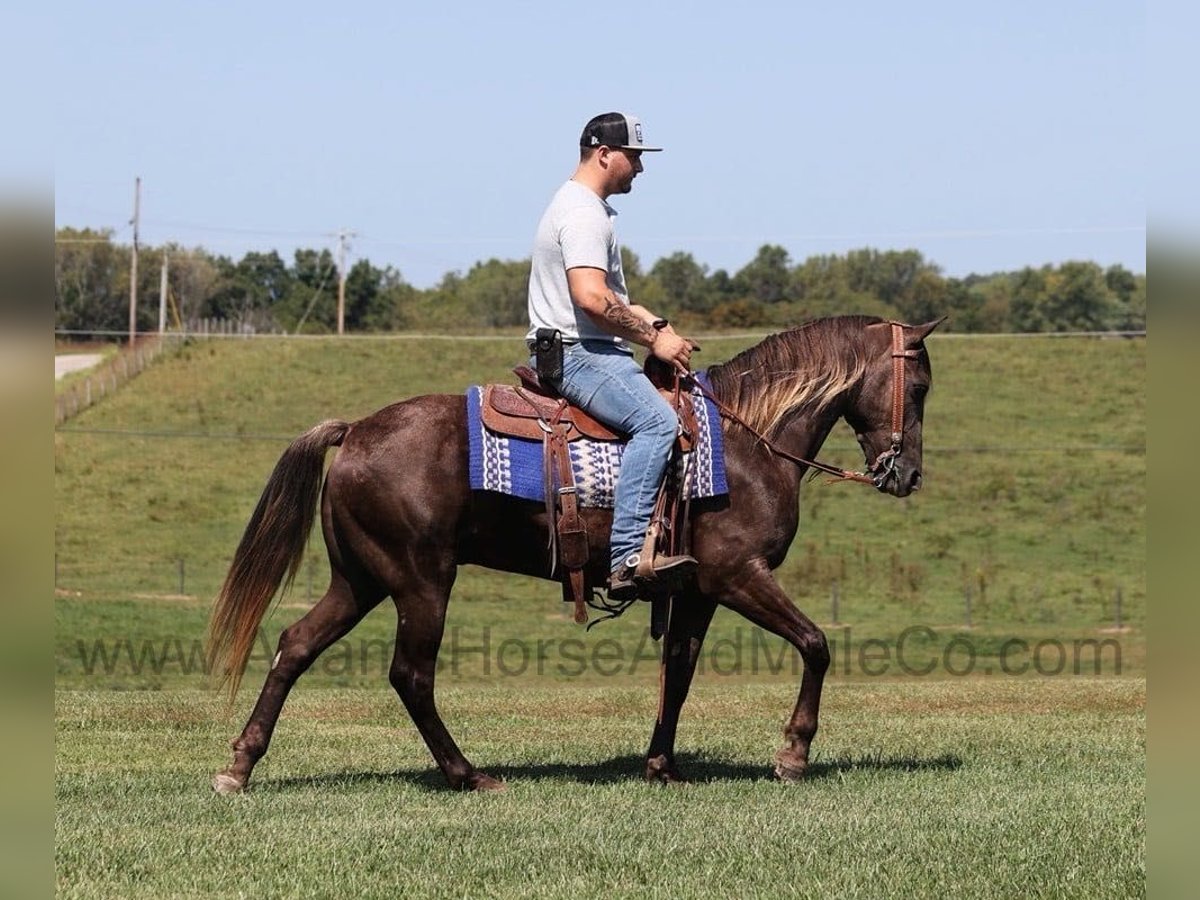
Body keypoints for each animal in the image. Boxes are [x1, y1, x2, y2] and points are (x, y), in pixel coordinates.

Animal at [206, 314, 940, 792]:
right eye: (922, 387)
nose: (905, 475)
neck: (745, 443)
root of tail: (355, 430)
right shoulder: (738, 576)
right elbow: (816, 644)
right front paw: (793, 755)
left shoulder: (696, 590)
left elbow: (679, 672)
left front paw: (662, 766)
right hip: (420, 582)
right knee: (410, 676)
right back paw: (468, 774)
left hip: (359, 580)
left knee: (295, 645)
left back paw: (239, 765)